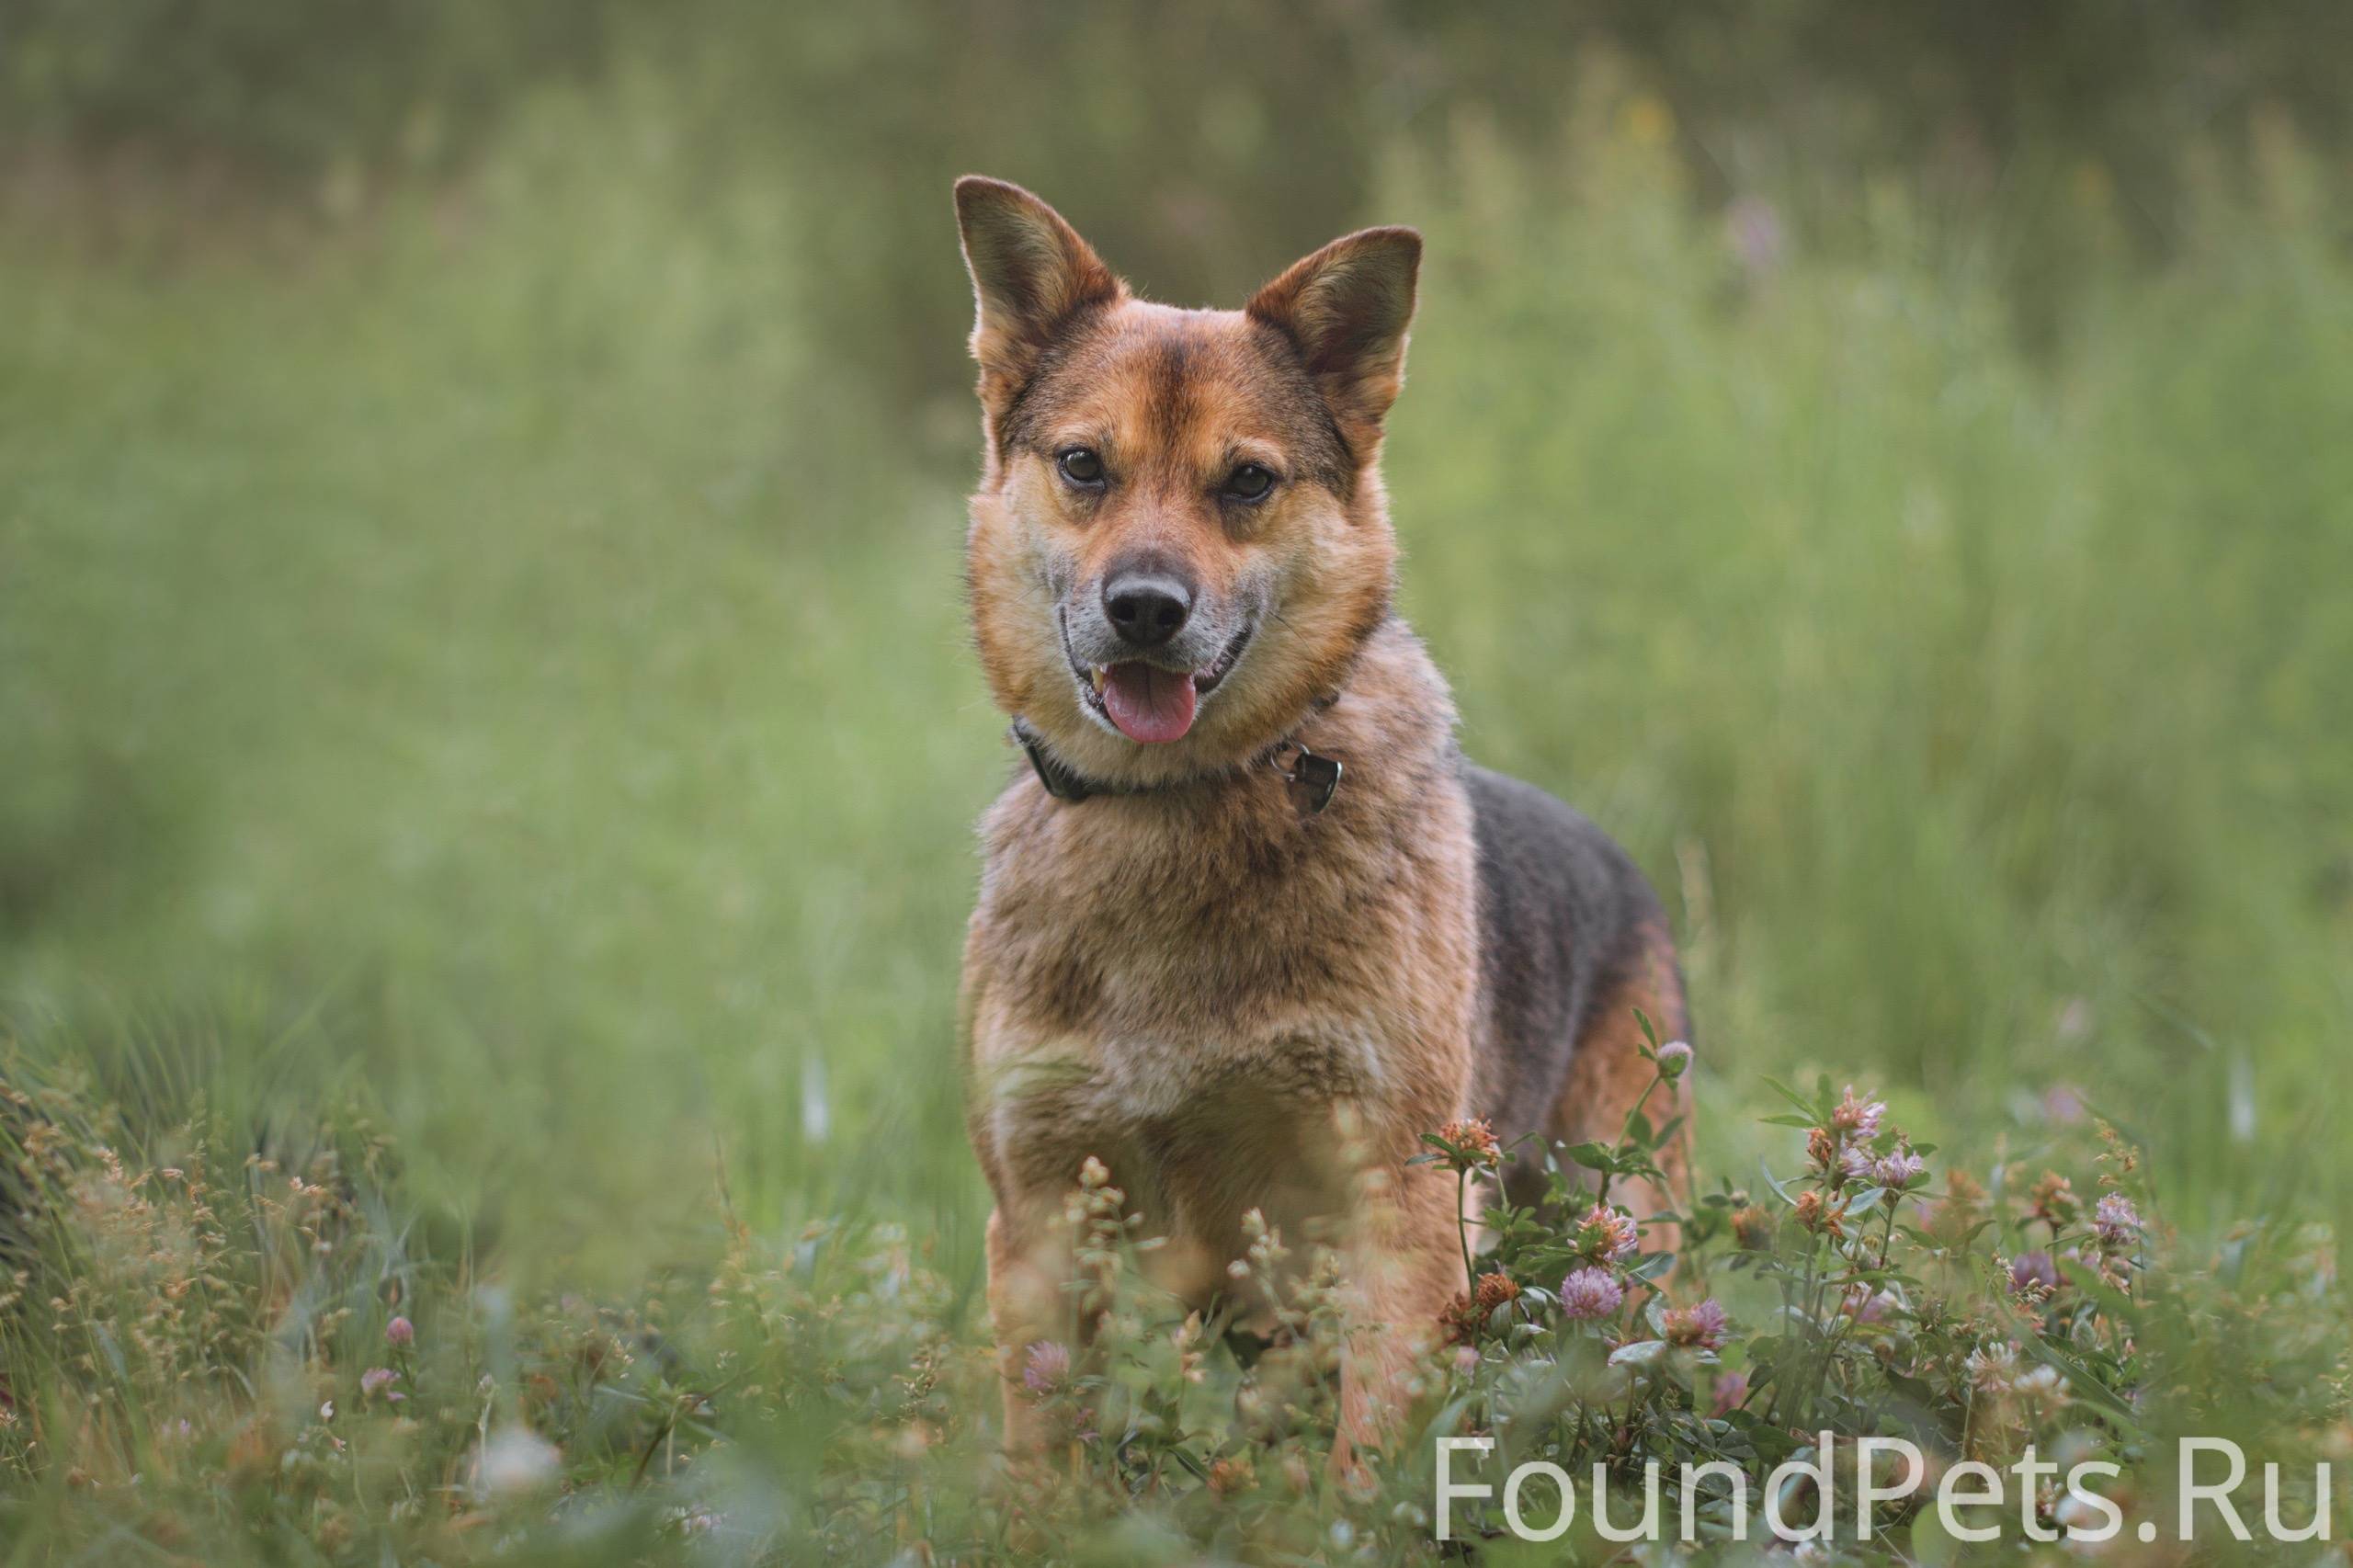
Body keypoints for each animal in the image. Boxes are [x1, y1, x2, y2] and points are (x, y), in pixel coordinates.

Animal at [946, 176, 1684, 1460]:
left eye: (1246, 481)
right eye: (1084, 465)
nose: (1145, 608)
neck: (1174, 811)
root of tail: (1623, 868)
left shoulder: (1399, 1200)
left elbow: (1366, 1457)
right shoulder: (1039, 1215)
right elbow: (1047, 1456)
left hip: (1619, 1244)